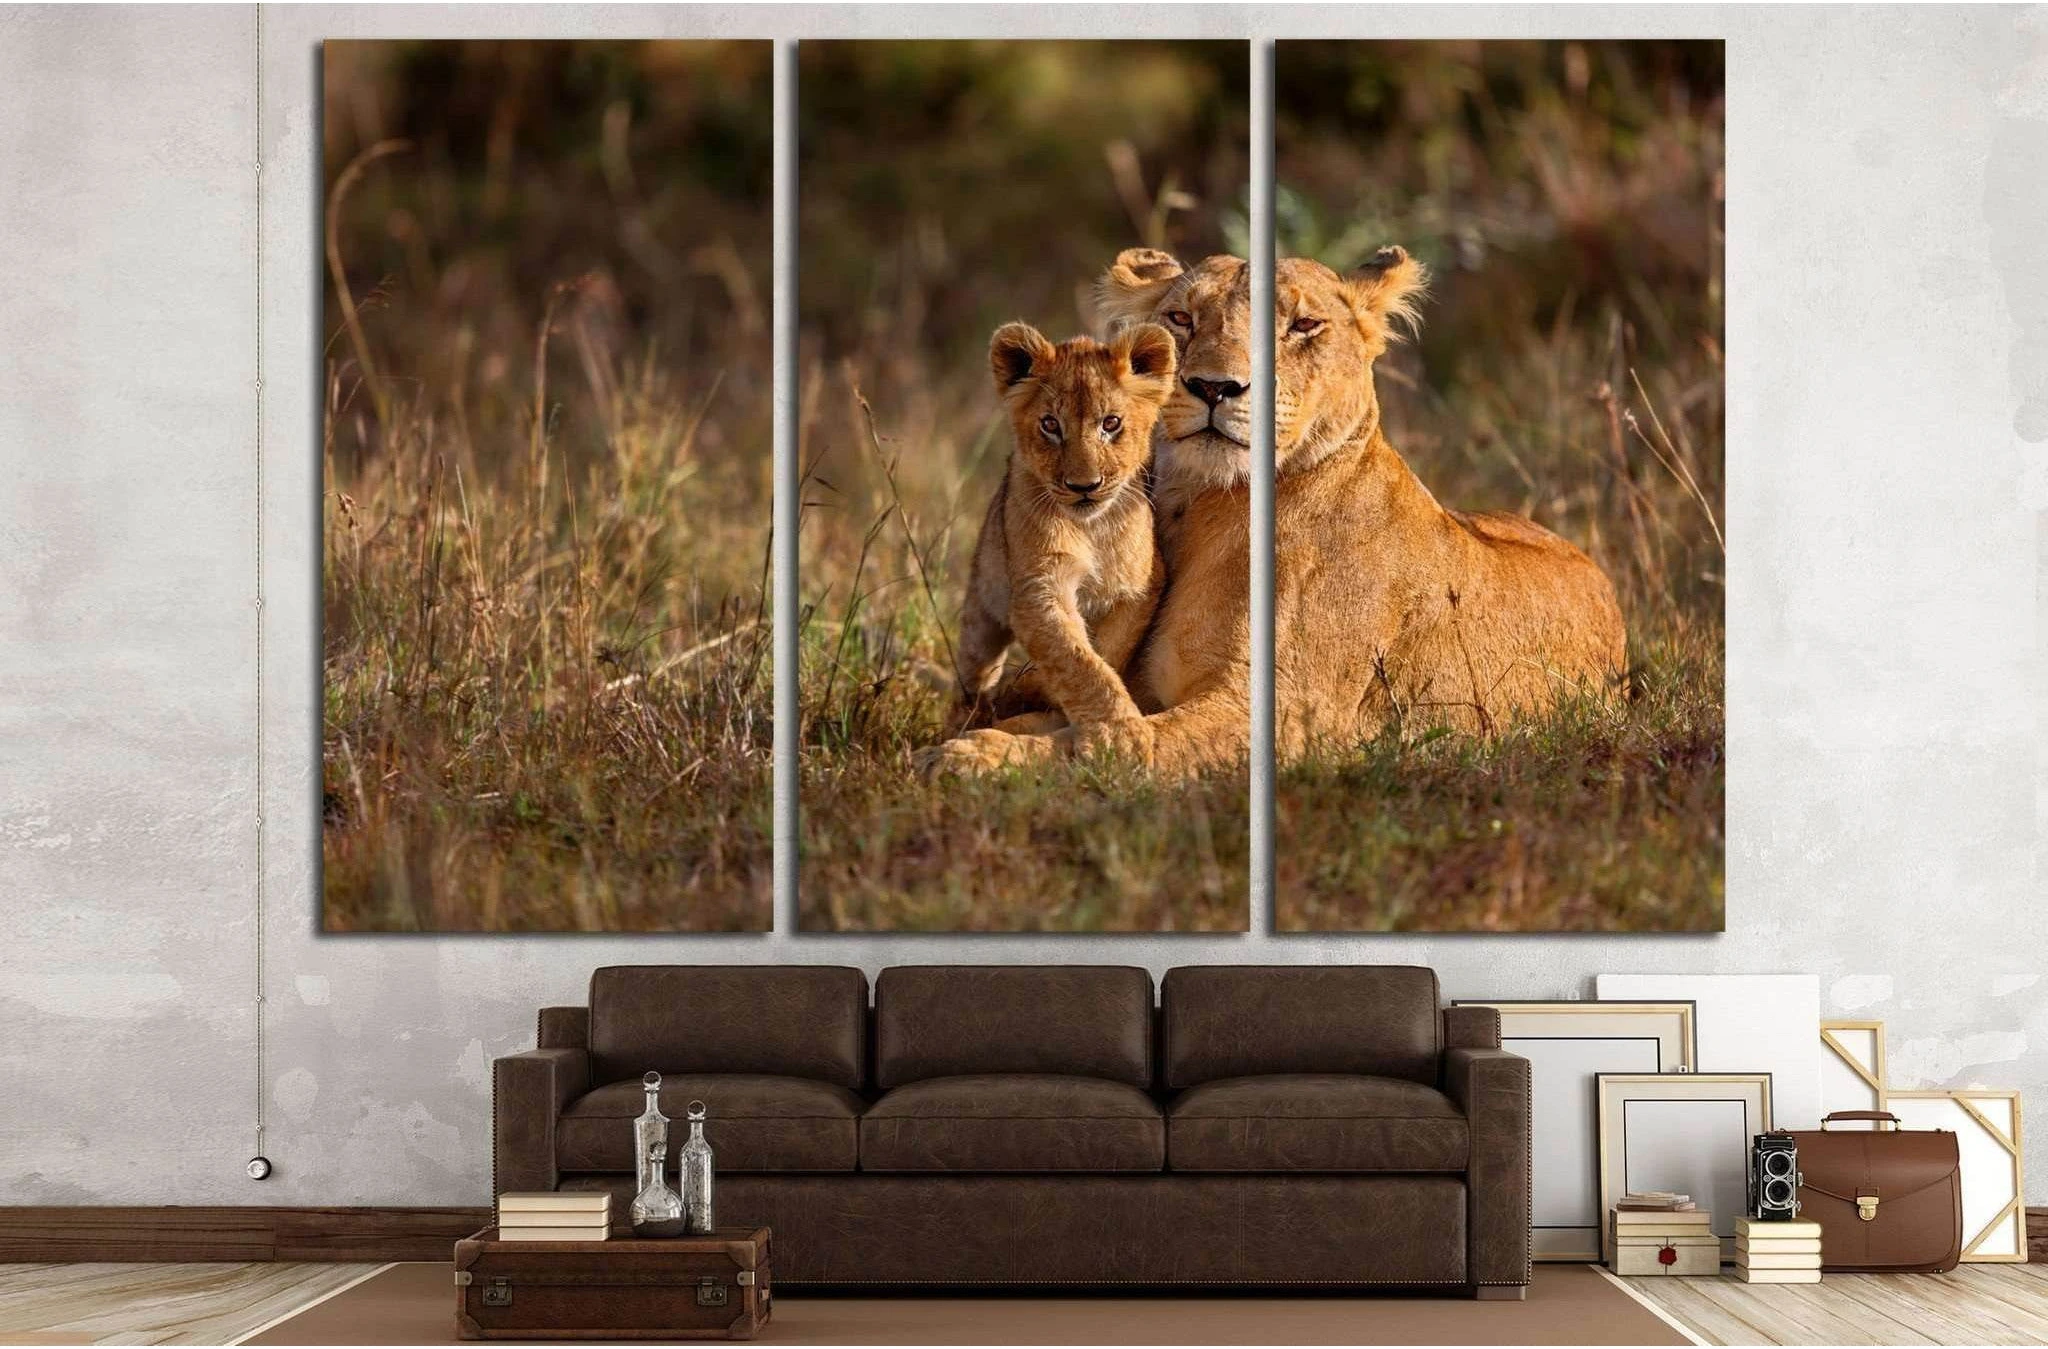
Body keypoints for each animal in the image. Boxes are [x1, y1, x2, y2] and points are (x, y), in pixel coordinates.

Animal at [946, 321, 1177, 736]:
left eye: (1111, 423)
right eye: (1050, 425)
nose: (1084, 486)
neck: (1092, 529)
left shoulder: (1140, 587)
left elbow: (1106, 651)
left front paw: (1034, 689)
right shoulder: (1039, 588)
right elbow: (1077, 661)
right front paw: (1121, 733)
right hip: (981, 606)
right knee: (974, 671)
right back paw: (967, 717)